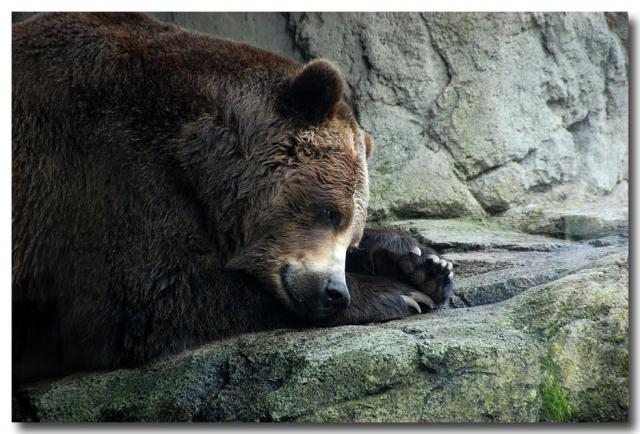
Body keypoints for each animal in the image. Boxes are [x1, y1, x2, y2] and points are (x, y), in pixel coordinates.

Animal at [12, 12, 454, 384]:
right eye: (330, 211)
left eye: (352, 234)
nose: (334, 291)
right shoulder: (104, 168)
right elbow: (153, 297)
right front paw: (397, 293)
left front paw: (421, 263)